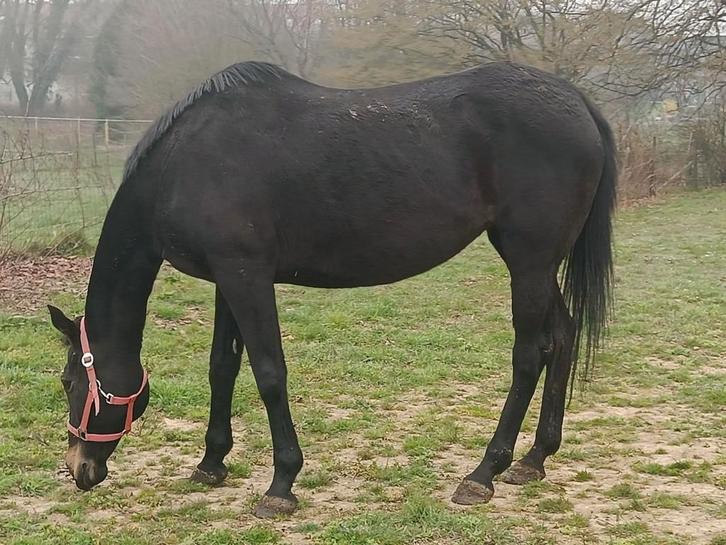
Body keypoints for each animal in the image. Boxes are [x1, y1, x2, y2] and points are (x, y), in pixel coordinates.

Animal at [48, 60, 616, 518]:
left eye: (68, 382)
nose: (79, 467)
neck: (186, 164)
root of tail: (579, 103)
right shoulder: (227, 280)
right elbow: (222, 367)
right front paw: (211, 463)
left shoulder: (247, 276)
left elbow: (269, 373)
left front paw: (281, 484)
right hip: (537, 264)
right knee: (562, 338)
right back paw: (534, 460)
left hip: (529, 261)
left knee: (528, 355)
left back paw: (483, 474)